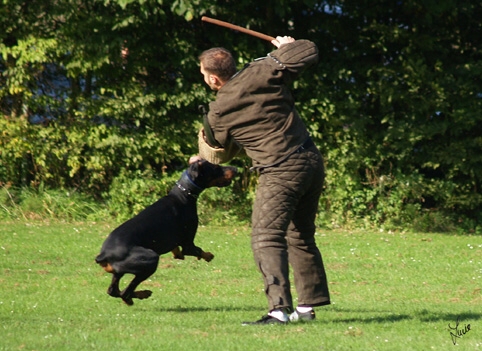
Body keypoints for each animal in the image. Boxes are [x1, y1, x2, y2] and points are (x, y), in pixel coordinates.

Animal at [95, 160, 236, 306]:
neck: (183, 195)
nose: (235, 169)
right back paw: (142, 294)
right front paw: (208, 256)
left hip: (119, 271)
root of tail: (103, 255)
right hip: (150, 260)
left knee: (114, 291)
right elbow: (197, 250)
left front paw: (177, 253)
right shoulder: (188, 244)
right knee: (125, 292)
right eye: (216, 167)